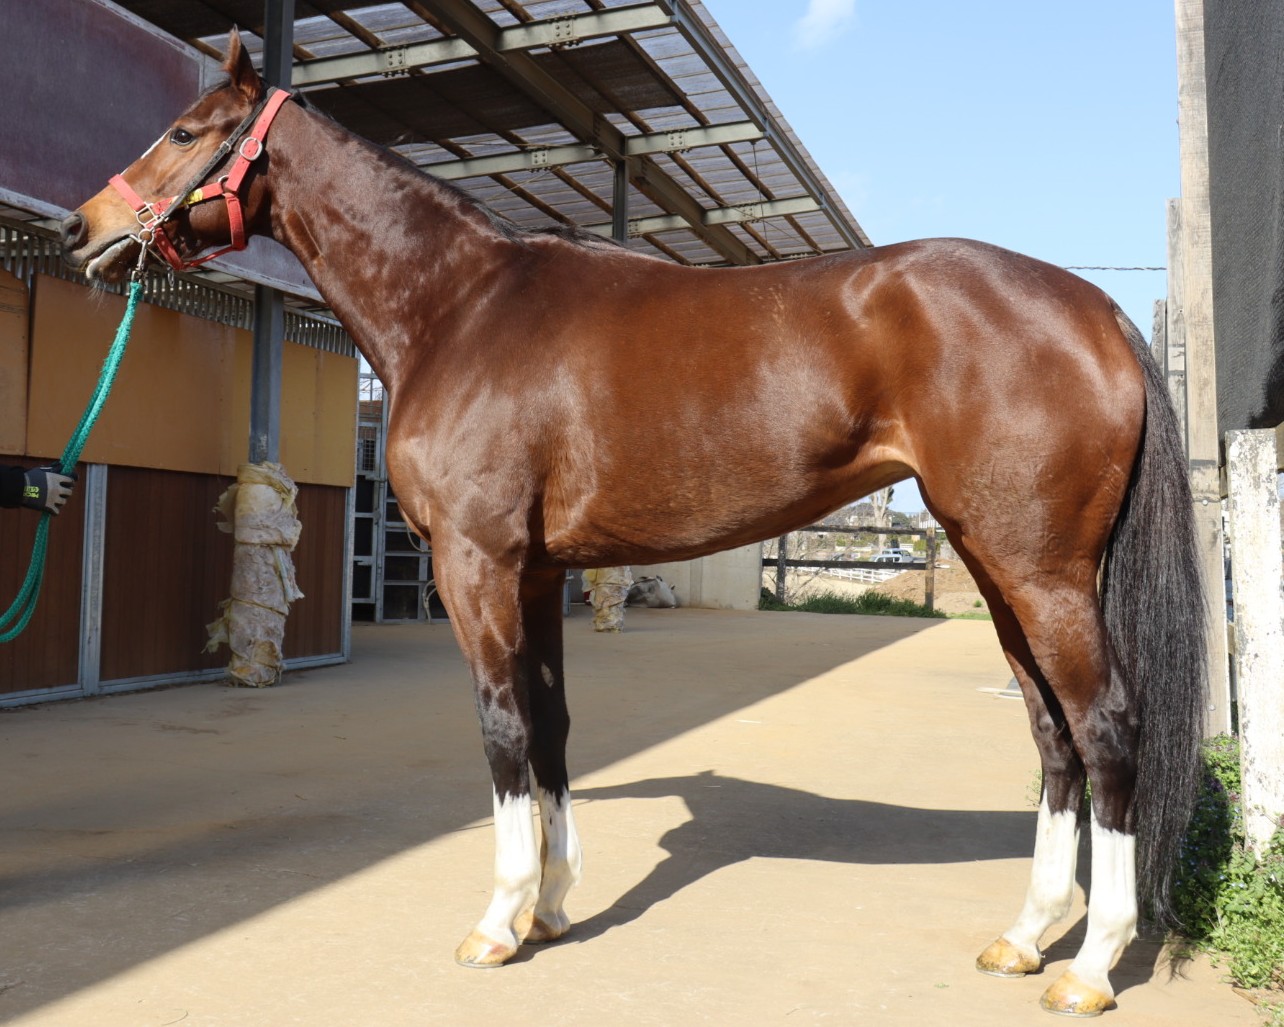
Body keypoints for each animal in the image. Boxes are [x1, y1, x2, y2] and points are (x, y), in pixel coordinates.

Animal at [60, 32, 1206, 1016]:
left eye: (183, 130)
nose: (83, 228)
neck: (461, 309)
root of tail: (1095, 308)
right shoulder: (534, 574)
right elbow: (554, 727)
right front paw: (554, 907)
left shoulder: (477, 566)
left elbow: (503, 728)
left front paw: (498, 922)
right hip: (997, 564)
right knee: (1052, 735)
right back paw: (1025, 937)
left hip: (1042, 573)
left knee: (1107, 728)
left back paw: (1090, 966)